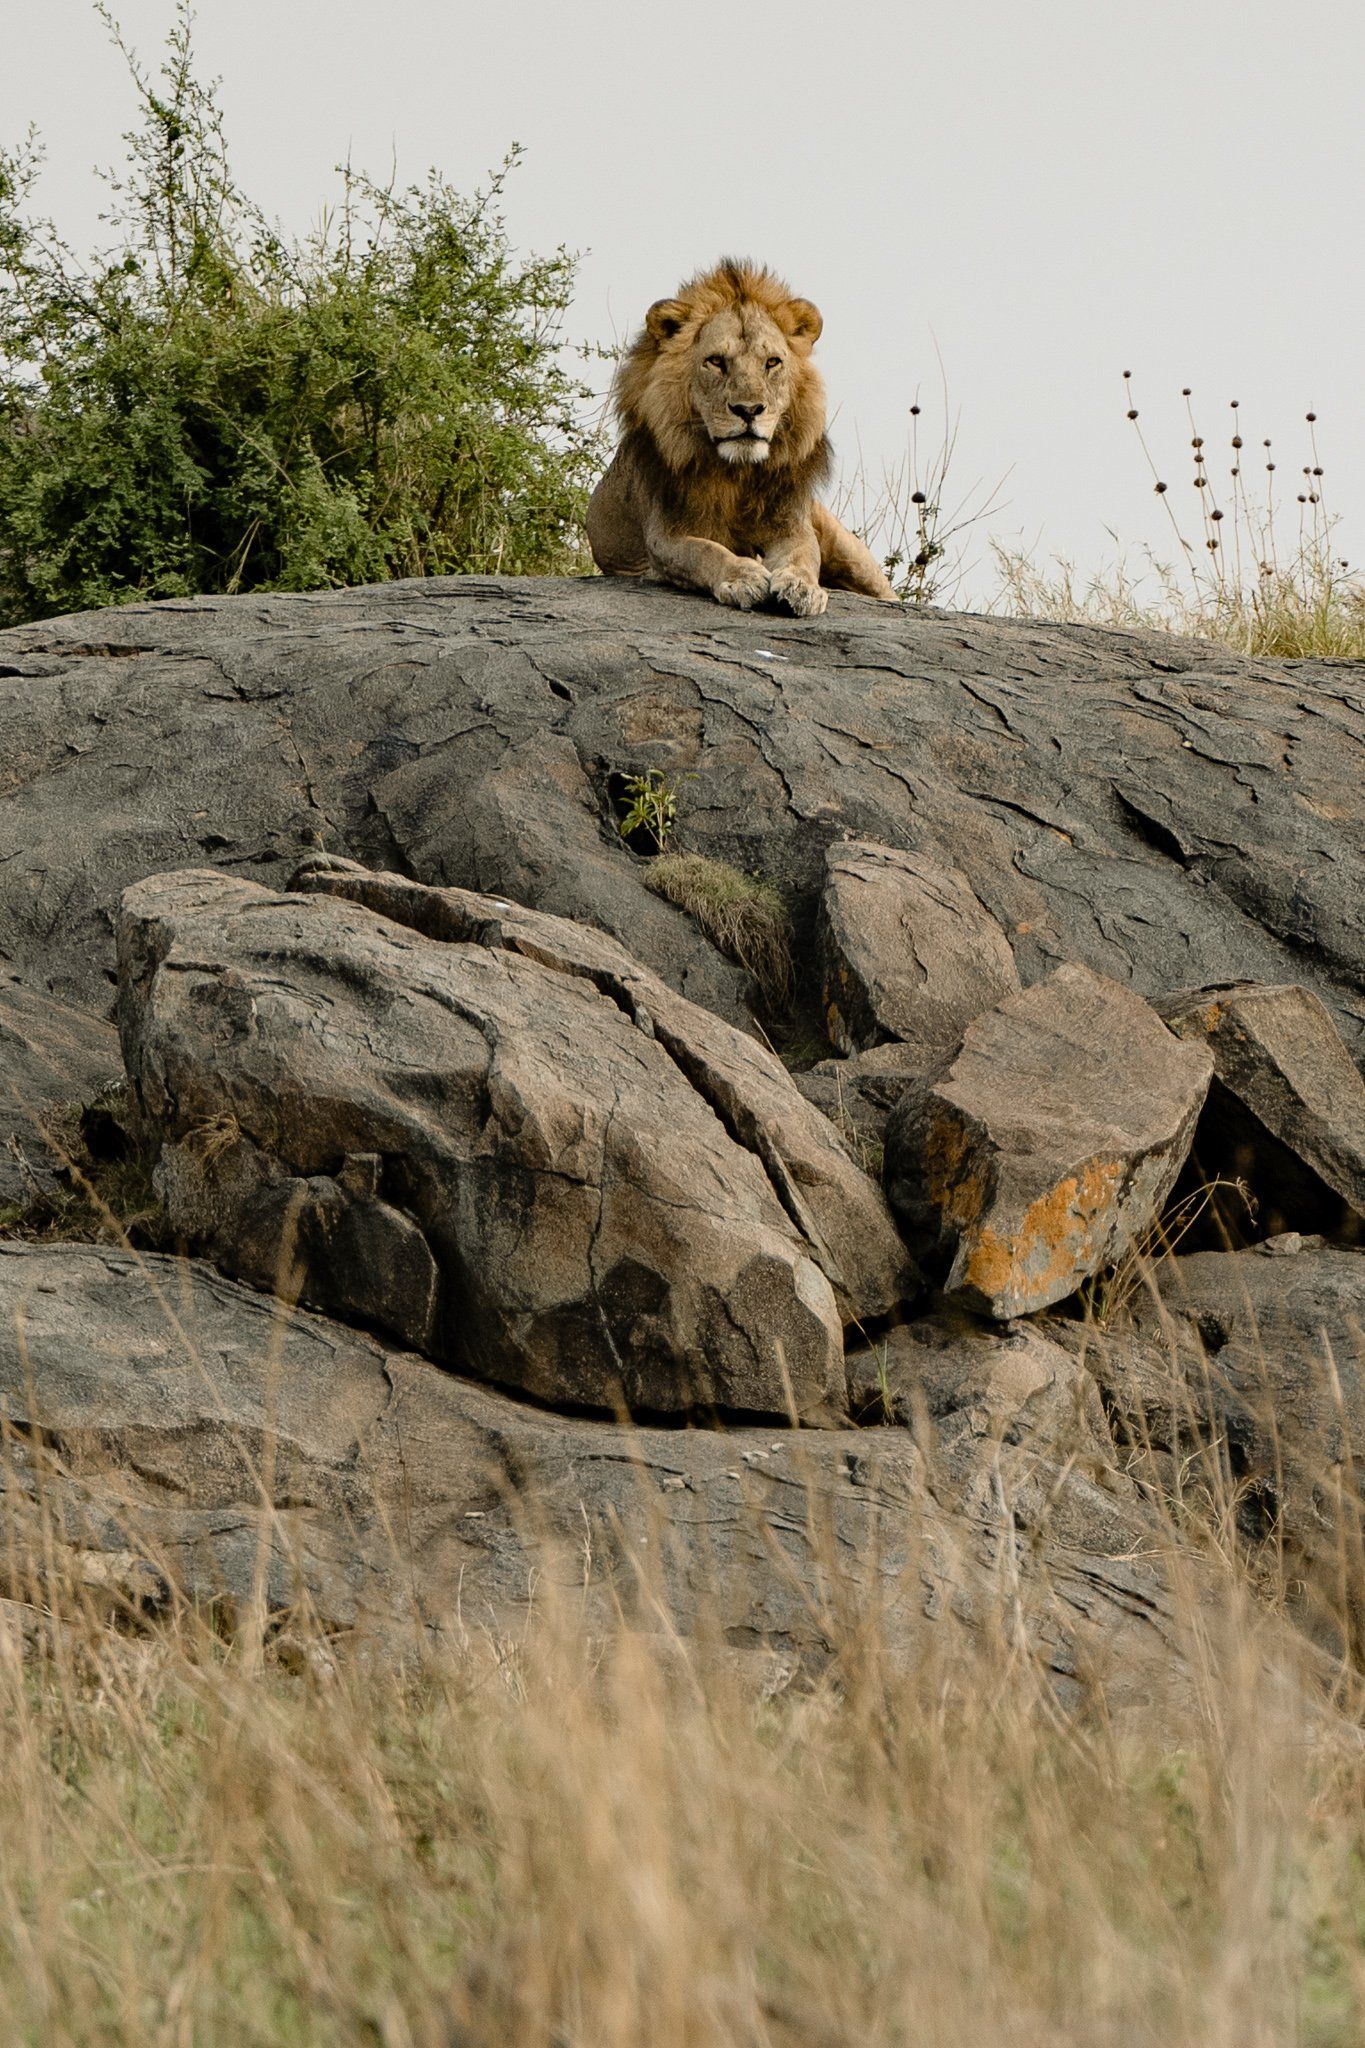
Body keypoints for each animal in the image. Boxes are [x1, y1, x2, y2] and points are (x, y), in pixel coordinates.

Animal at [586, 259, 897, 617]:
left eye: (772, 362)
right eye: (716, 361)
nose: (749, 410)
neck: (738, 472)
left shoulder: (792, 524)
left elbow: (803, 555)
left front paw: (801, 587)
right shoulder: (664, 537)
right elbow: (705, 552)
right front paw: (744, 578)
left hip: (850, 553)